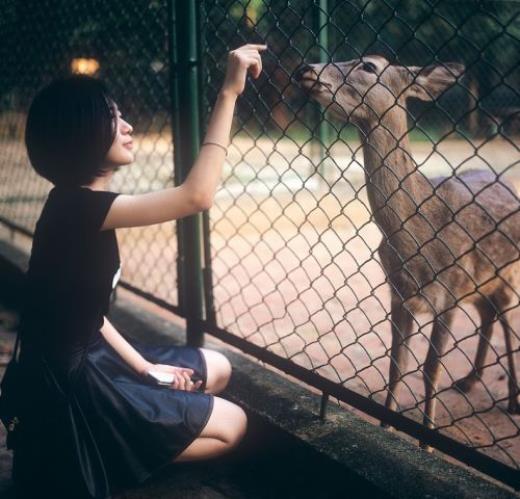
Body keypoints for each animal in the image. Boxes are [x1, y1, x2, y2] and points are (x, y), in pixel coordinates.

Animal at [294, 56, 520, 452]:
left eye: (369, 64)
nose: (306, 67)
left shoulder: (448, 293)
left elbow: (430, 368)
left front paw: (427, 442)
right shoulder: (399, 294)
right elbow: (396, 364)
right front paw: (386, 426)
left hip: (507, 271)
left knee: (507, 320)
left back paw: (514, 400)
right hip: (481, 282)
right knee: (489, 315)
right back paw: (470, 380)